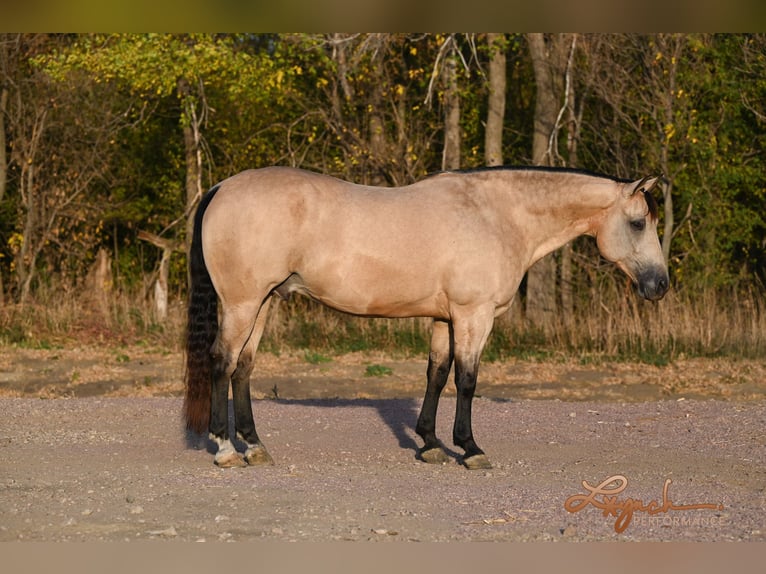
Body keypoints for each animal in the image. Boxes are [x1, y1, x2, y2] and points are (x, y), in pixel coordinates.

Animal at [183, 166, 668, 472]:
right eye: (639, 222)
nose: (659, 284)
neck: (496, 215)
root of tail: (222, 187)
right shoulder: (474, 315)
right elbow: (467, 379)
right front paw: (470, 449)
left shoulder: (444, 318)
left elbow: (436, 374)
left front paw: (430, 444)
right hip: (243, 303)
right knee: (223, 361)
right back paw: (225, 449)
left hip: (263, 301)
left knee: (244, 367)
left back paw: (255, 446)